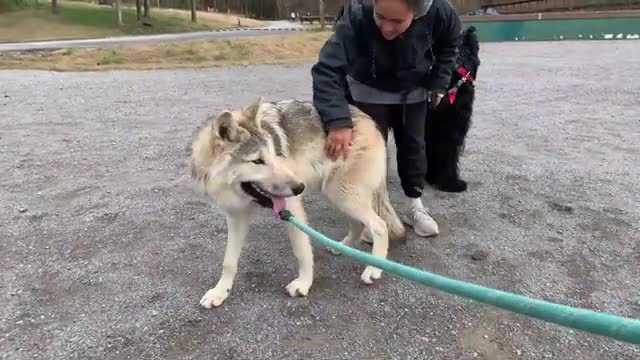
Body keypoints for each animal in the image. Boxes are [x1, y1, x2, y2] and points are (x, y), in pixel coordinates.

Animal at [190, 97, 404, 308]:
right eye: (257, 161)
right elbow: (228, 261)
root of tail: (369, 120)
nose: (299, 187)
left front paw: (303, 284)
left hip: (344, 196)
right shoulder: (236, 216)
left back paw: (374, 269)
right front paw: (220, 292)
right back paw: (341, 247)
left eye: (274, 154)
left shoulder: (291, 206)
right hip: (336, 196)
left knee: (379, 226)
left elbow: (302, 250)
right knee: (359, 224)